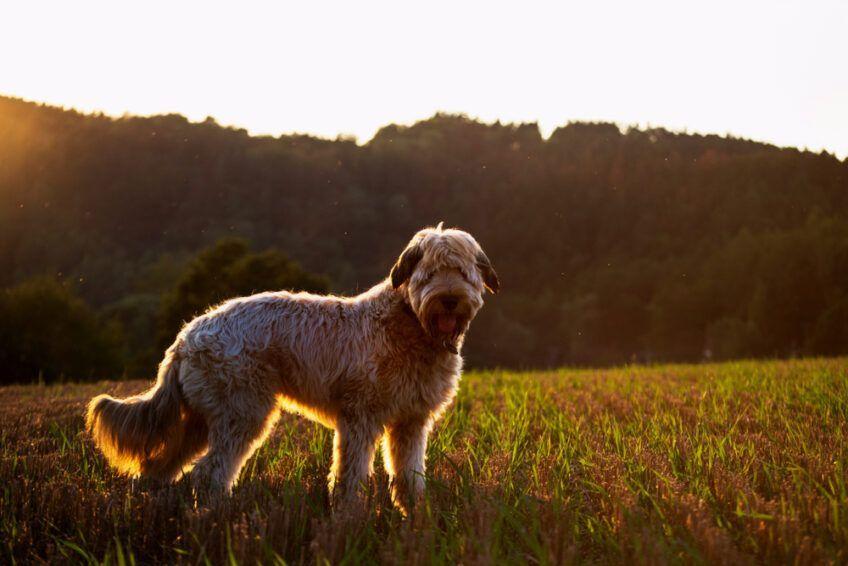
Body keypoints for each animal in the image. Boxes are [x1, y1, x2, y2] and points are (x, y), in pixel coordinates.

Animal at [86, 223, 496, 516]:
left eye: (462, 273)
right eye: (430, 274)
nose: (449, 300)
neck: (411, 325)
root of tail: (186, 336)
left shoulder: (411, 422)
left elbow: (409, 477)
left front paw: (415, 520)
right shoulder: (360, 419)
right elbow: (349, 476)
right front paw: (347, 521)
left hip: (200, 420)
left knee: (157, 469)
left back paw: (149, 514)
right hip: (242, 413)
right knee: (209, 474)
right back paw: (217, 522)